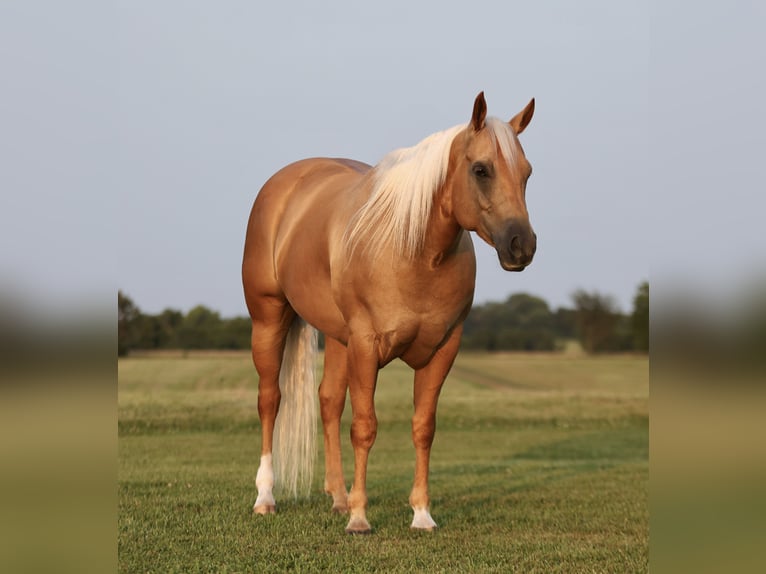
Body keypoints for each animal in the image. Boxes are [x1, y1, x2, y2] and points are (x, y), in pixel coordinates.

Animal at [243, 91, 536, 536]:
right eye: (481, 170)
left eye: (527, 173)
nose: (522, 245)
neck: (413, 251)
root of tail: (285, 184)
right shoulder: (367, 345)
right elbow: (365, 427)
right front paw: (360, 519)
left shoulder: (442, 350)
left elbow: (423, 428)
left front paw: (421, 515)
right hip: (269, 319)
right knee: (270, 400)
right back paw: (266, 498)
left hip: (338, 338)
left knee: (328, 401)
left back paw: (338, 497)